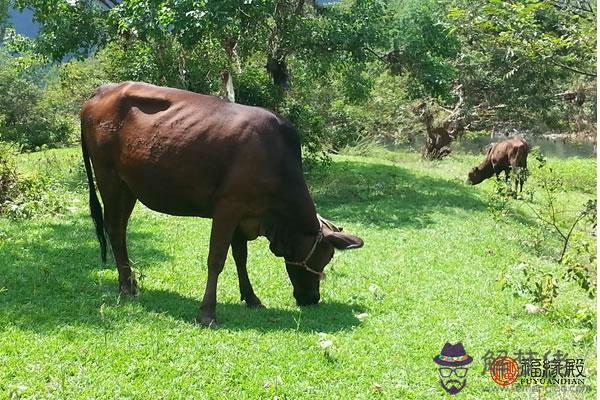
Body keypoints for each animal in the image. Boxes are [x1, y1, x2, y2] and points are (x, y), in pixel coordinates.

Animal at [78, 81, 364, 324]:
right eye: (324, 258)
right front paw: (207, 313)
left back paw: (129, 282)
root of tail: (102, 90)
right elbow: (216, 259)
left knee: (119, 229)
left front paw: (251, 298)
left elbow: (241, 258)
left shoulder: (243, 215)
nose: (312, 299)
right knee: (114, 229)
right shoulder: (228, 207)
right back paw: (126, 286)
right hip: (109, 178)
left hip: (129, 187)